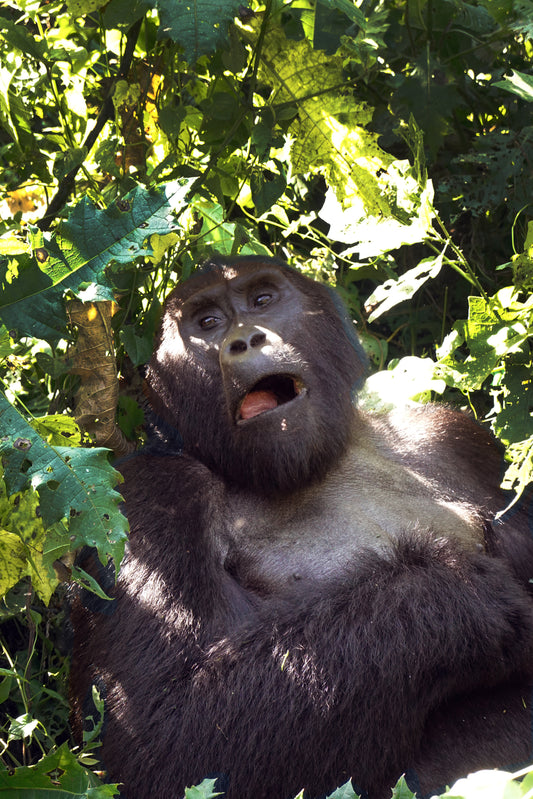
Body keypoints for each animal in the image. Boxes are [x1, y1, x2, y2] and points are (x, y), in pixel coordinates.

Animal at [69, 255, 532, 799]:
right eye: (208, 323)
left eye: (262, 300)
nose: (245, 340)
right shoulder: (142, 500)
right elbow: (163, 737)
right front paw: (470, 595)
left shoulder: (452, 435)